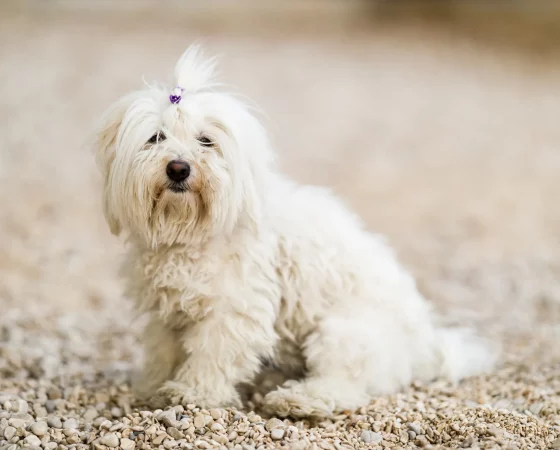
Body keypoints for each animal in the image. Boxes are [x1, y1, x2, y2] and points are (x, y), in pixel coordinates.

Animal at [92, 45, 494, 418]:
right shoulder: (168, 310)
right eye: (156, 138)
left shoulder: (234, 309)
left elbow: (213, 355)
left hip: (343, 333)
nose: (178, 168)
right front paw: (152, 386)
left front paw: (192, 393)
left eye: (206, 141)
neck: (190, 233)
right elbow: (163, 351)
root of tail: (428, 346)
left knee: (343, 387)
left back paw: (296, 399)